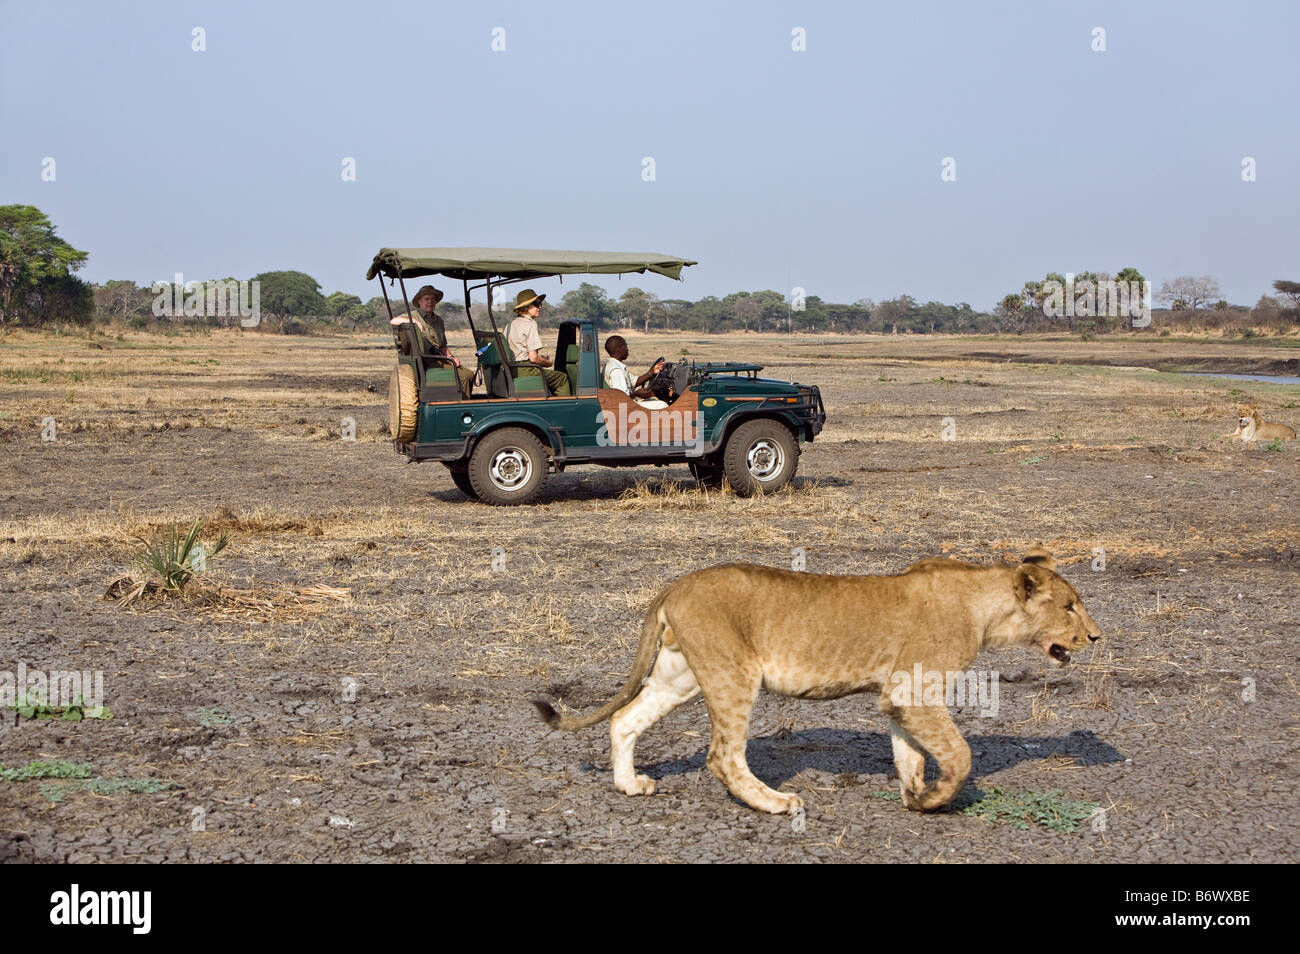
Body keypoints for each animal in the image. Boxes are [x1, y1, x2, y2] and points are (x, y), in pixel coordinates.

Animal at [533, 553, 1102, 816]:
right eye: (1070, 605)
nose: (1095, 636)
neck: (985, 608)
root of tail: (676, 584)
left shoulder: (897, 698)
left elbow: (911, 754)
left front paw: (916, 796)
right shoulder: (916, 691)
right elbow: (958, 754)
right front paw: (939, 797)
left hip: (682, 675)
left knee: (624, 718)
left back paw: (630, 785)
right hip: (735, 674)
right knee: (723, 756)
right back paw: (776, 803)